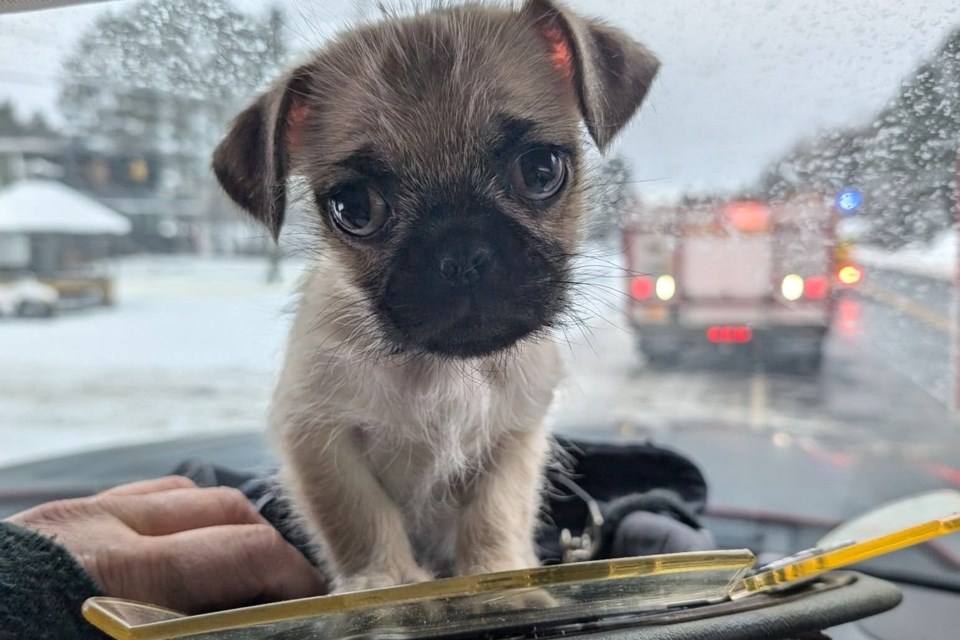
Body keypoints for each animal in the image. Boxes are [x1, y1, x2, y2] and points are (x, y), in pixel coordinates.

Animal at [213, 0, 656, 592]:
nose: (461, 253)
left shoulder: (514, 437)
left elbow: (494, 512)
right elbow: (360, 515)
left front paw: (497, 575)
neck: (442, 369)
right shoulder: (318, 436)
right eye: (354, 207)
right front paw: (385, 580)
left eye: (541, 170)